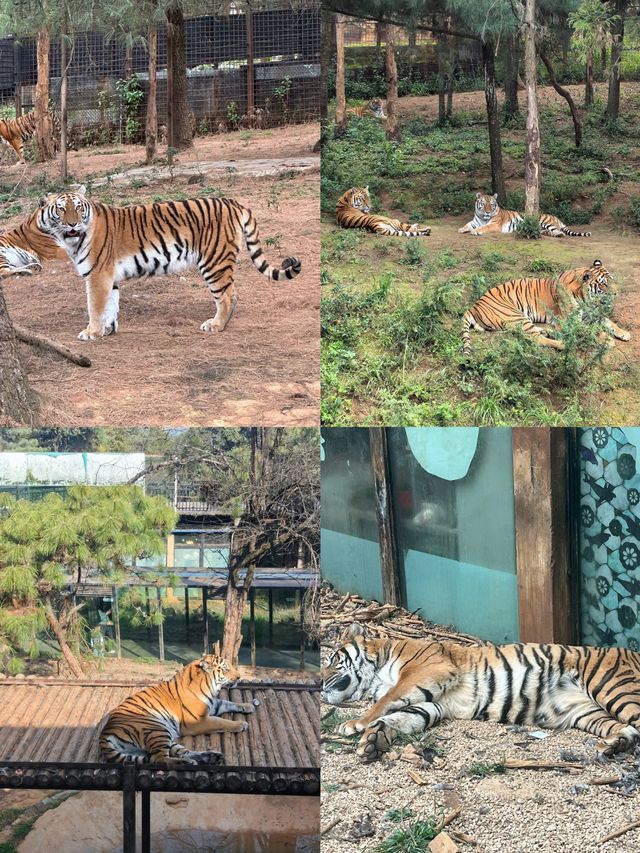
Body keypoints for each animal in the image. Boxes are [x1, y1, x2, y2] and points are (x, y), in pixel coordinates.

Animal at [35, 186, 302, 340]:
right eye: (61, 209)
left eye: (78, 208)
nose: (73, 224)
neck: (72, 241)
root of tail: (233, 202)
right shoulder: (109, 277)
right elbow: (111, 304)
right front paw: (107, 330)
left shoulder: (97, 275)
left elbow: (95, 306)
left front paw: (91, 332)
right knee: (232, 293)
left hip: (213, 261)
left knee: (227, 295)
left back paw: (216, 325)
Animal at [100, 644, 260, 764]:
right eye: (226, 669)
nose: (239, 677)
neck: (210, 687)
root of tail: (104, 734)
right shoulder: (197, 721)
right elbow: (220, 721)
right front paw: (241, 724)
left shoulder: (214, 704)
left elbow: (229, 702)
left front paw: (248, 706)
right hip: (155, 728)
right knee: (159, 759)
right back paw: (186, 763)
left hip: (166, 734)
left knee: (180, 752)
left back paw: (210, 757)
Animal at [322, 624, 640, 764]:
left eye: (331, 661)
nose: (320, 684)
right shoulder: (436, 703)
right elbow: (404, 717)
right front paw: (373, 741)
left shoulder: (428, 670)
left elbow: (388, 701)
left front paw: (354, 724)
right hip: (588, 712)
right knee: (630, 731)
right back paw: (614, 746)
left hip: (614, 689)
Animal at [460, 191, 592, 236]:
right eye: (483, 203)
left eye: (492, 204)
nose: (488, 211)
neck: (483, 217)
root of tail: (556, 217)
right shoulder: (474, 221)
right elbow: (468, 224)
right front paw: (461, 229)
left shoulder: (495, 225)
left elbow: (484, 227)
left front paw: (476, 231)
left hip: (545, 221)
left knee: (558, 231)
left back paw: (558, 234)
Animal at [460, 258, 632, 354]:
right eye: (603, 285)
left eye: (612, 280)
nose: (616, 294)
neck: (584, 298)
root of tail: (474, 305)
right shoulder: (571, 320)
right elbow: (592, 329)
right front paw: (608, 340)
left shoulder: (588, 314)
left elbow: (608, 321)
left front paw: (623, 333)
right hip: (516, 315)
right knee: (537, 340)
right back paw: (563, 344)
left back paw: (548, 331)